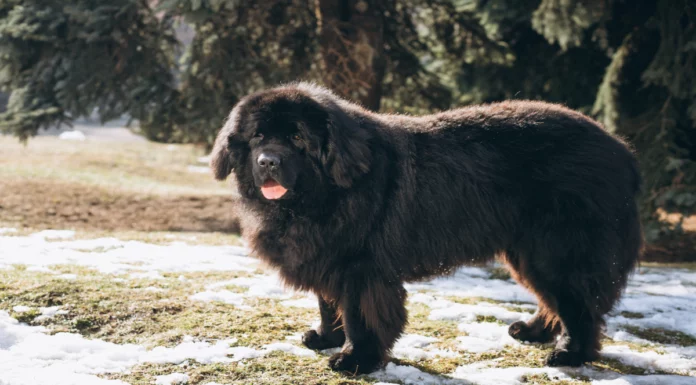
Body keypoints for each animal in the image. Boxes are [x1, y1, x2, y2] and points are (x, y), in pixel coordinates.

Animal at [211, 82, 640, 374]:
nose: (268, 162)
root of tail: (621, 149)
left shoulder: (361, 267)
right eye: (259, 136)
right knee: (554, 299)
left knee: (579, 306)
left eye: (298, 137)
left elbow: (358, 314)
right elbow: (327, 303)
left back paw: (570, 353)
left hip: (556, 249)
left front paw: (356, 359)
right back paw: (533, 331)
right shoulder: (325, 256)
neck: (322, 195)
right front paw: (325, 338)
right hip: (527, 251)